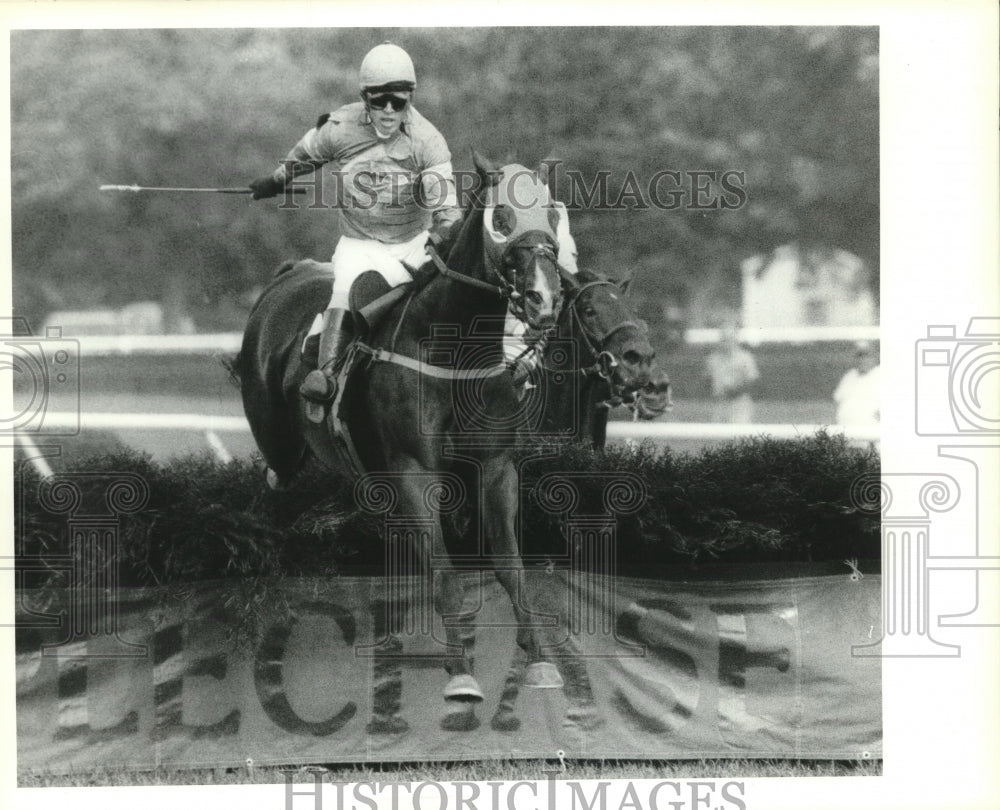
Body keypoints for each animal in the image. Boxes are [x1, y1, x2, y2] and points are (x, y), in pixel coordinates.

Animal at [231, 152, 572, 700]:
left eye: (553, 216)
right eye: (501, 219)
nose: (544, 299)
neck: (451, 346)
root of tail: (289, 272)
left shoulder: (497, 466)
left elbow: (511, 567)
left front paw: (540, 660)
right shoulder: (414, 468)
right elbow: (445, 575)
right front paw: (460, 671)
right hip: (277, 439)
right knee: (275, 476)